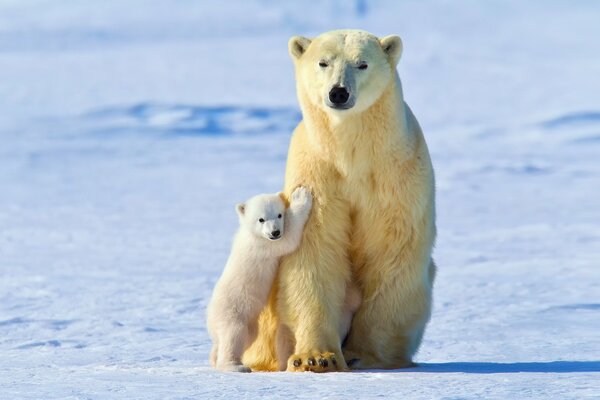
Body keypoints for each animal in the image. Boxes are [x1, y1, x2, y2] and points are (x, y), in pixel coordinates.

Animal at [206, 188, 312, 372]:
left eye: (279, 215)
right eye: (261, 219)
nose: (275, 232)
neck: (251, 233)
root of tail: (210, 318)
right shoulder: (263, 245)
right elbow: (288, 238)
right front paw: (300, 196)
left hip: (249, 323)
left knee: (244, 337)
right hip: (232, 311)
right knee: (233, 335)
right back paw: (236, 366)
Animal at [243, 29, 436, 374]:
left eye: (362, 63)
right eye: (323, 62)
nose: (338, 93)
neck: (351, 154)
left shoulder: (395, 176)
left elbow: (392, 252)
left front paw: (364, 354)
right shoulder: (317, 173)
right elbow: (315, 252)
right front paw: (317, 357)